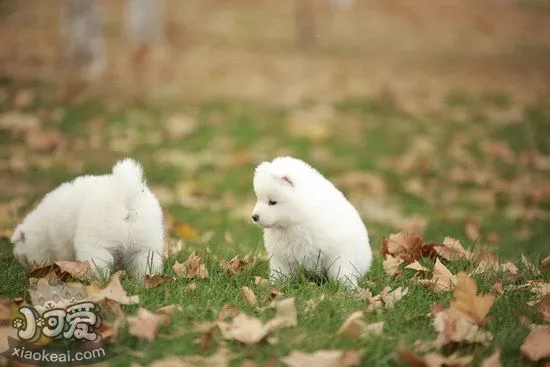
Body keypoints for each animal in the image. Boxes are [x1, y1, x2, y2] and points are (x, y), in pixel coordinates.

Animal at [11, 157, 164, 278]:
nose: (23, 264)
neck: (44, 228)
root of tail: (126, 193)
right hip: (147, 244)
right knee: (147, 263)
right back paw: (145, 282)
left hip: (97, 242)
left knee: (98, 264)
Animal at [252, 157, 374, 288]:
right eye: (258, 198)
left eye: (272, 202)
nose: (254, 217)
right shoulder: (281, 256)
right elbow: (280, 271)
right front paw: (275, 285)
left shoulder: (338, 253)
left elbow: (341, 271)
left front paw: (346, 288)